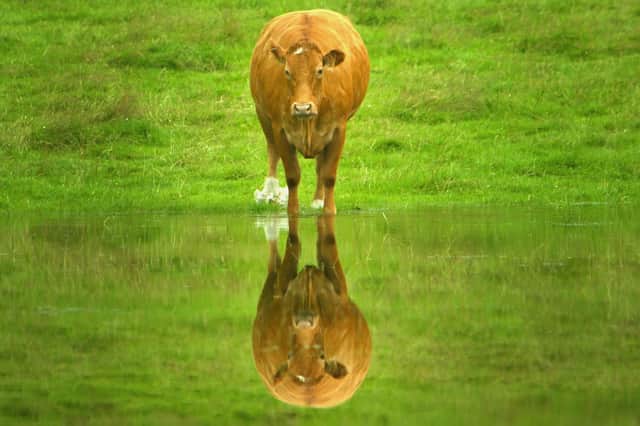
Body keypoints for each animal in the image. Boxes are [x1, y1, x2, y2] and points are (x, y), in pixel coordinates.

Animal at [250, 9, 370, 215]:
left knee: (320, 165)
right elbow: (292, 175)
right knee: (272, 152)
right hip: (263, 115)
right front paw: (293, 210)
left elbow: (328, 174)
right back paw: (270, 192)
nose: (302, 107)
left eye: (320, 70)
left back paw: (318, 200)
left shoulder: (338, 128)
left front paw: (329, 209)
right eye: (287, 71)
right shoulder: (280, 129)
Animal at [252, 215, 372, 407]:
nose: (304, 321)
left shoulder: (339, 288)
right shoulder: (281, 288)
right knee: (274, 261)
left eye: (323, 356)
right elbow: (295, 243)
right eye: (289, 356)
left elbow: (323, 240)